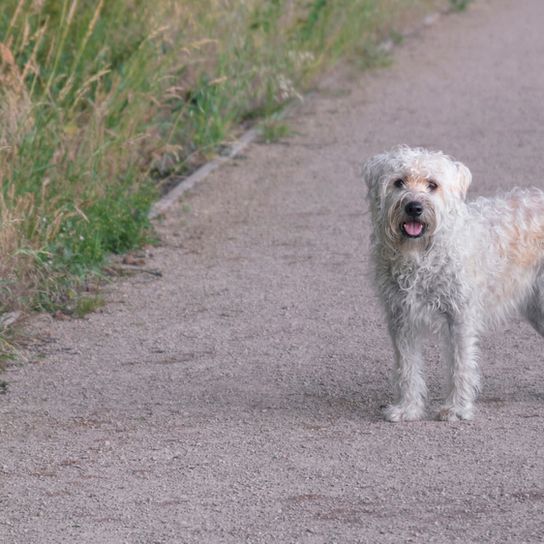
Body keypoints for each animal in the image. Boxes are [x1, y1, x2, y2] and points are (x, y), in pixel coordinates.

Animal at [362, 147, 544, 422]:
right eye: (399, 182)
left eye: (432, 185)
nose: (414, 207)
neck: (422, 256)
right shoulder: (401, 318)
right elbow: (407, 367)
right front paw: (407, 409)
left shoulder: (460, 316)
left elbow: (460, 365)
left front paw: (457, 409)